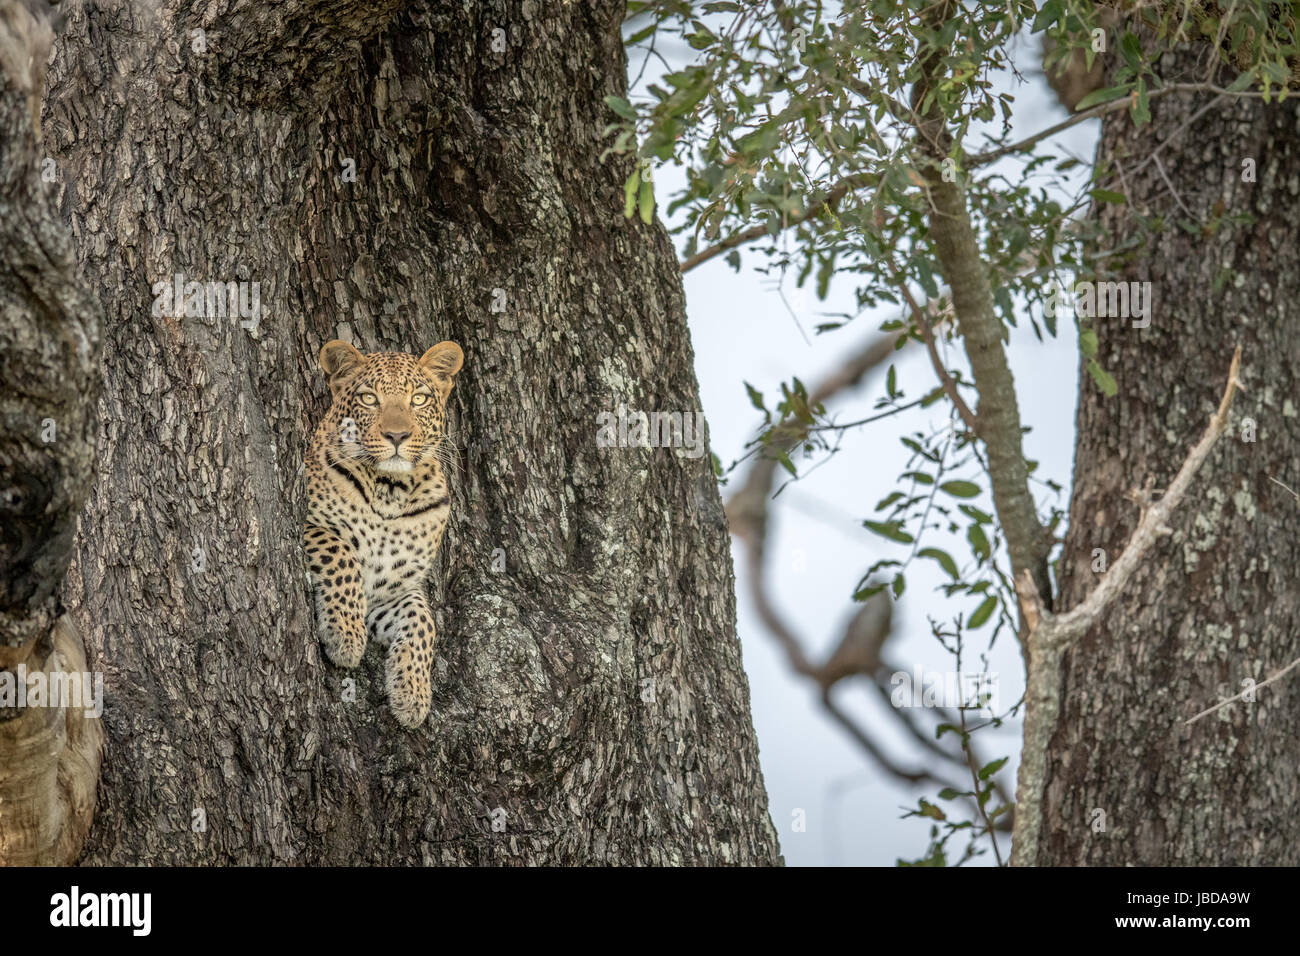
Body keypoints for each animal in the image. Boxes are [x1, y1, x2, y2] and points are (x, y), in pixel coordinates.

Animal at [303, 338, 464, 728]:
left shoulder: (392, 591)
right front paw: (345, 636)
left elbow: (423, 621)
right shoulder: (308, 524)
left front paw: (413, 694)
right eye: (369, 398)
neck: (390, 490)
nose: (397, 435)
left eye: (418, 399)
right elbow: (341, 553)